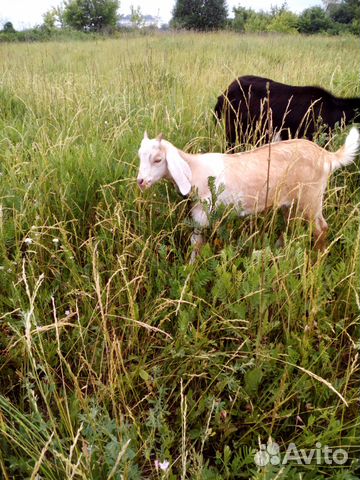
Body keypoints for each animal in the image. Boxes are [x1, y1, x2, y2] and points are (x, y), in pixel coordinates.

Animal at [136, 128, 358, 258]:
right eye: (140, 156)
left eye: (158, 159)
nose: (141, 182)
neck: (194, 169)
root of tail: (326, 156)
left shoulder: (203, 214)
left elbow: (196, 243)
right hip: (291, 202)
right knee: (291, 225)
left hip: (311, 199)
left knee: (321, 229)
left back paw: (318, 261)